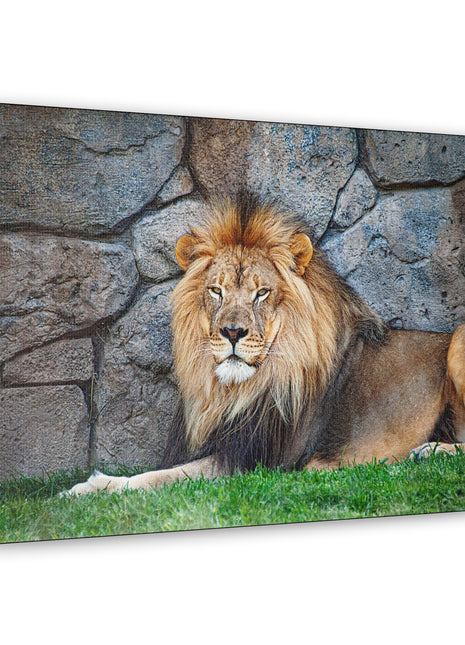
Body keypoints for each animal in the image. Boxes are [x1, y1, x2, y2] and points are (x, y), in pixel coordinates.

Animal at [65, 194, 465, 495]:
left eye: (261, 293)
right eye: (217, 290)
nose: (232, 332)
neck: (232, 392)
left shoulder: (251, 462)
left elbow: (158, 478)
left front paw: (89, 487)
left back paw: (428, 452)